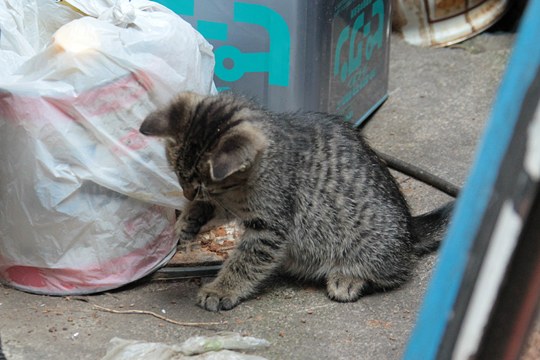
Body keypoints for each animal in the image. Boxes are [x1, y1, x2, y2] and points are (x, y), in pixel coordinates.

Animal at [139, 93, 452, 312]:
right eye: (178, 175)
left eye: (199, 183)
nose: (187, 194)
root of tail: (409, 229)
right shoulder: (232, 204)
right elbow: (215, 210)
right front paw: (189, 219)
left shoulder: (271, 225)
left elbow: (246, 260)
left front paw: (222, 288)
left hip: (373, 241)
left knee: (396, 271)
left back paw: (349, 277)